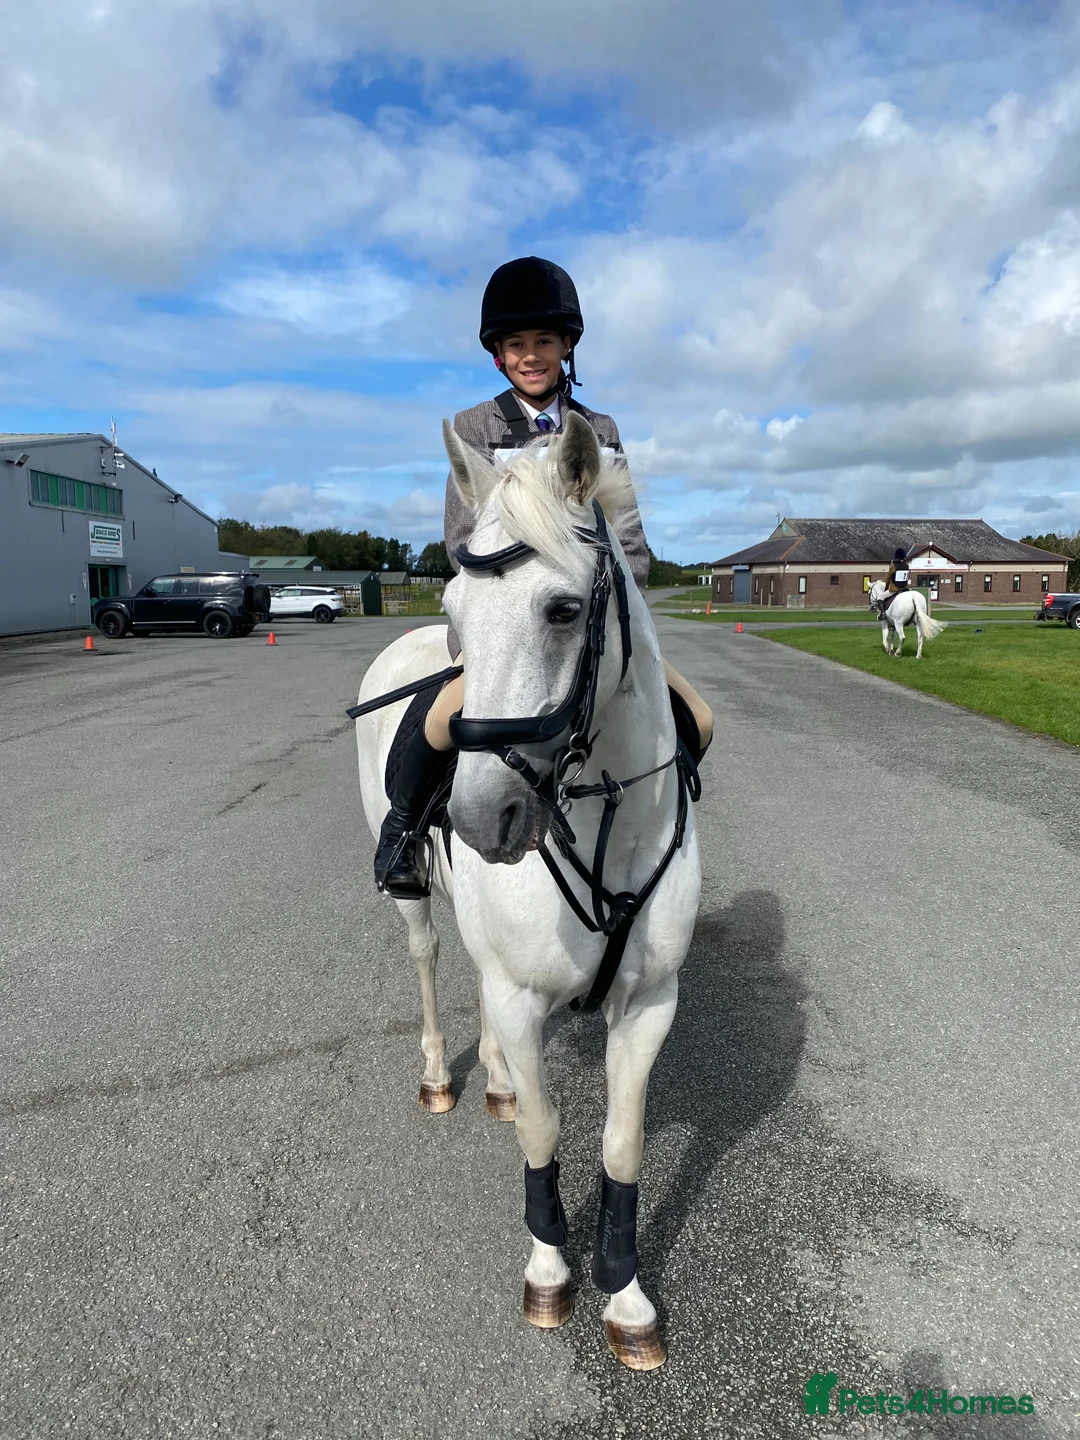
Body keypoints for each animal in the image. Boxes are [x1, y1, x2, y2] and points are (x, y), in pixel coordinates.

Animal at [354, 412, 701, 1370]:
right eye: (453, 614)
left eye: (563, 609)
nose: (480, 818)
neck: (608, 820)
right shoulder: (518, 993)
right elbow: (543, 1133)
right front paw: (549, 1268)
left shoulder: (650, 1004)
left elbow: (622, 1143)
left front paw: (625, 1296)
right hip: (412, 899)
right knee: (431, 958)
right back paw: (444, 1074)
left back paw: (500, 1077)